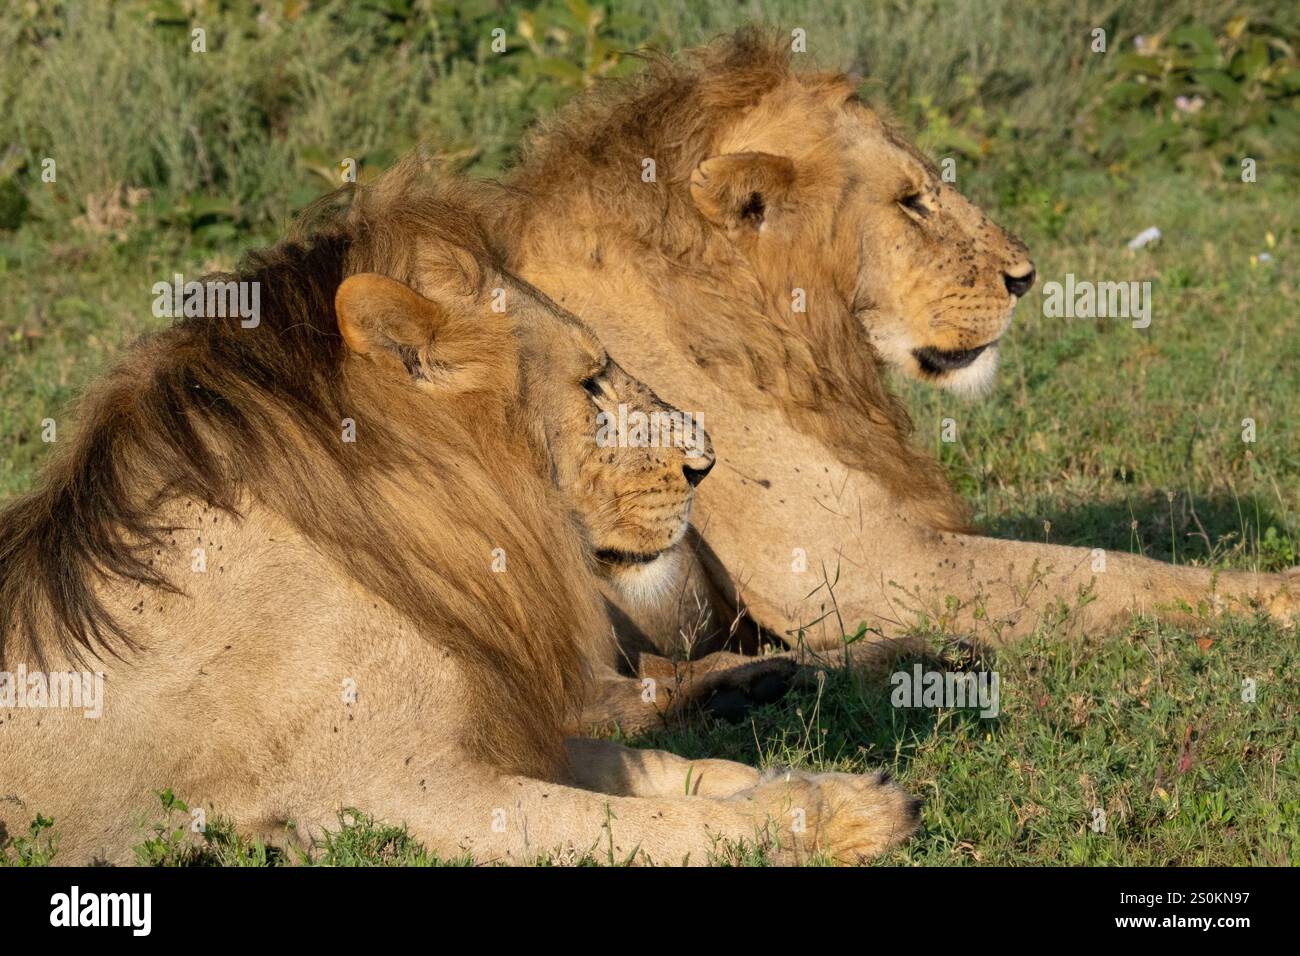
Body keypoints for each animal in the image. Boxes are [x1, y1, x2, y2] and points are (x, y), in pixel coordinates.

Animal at [0, 175, 918, 865]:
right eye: (591, 382)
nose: (706, 463)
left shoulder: (488, 738)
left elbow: (673, 772)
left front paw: (825, 790)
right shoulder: (393, 795)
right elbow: (646, 826)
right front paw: (831, 819)